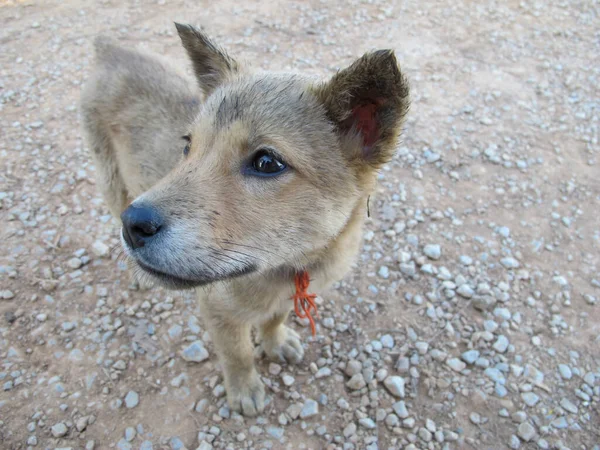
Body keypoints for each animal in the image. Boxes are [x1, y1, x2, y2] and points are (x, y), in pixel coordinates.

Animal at [81, 22, 408, 416]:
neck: (288, 265)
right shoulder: (218, 311)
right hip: (112, 180)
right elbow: (237, 354)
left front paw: (275, 341)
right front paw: (244, 389)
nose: (134, 226)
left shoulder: (287, 295)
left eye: (267, 162)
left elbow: (275, 318)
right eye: (188, 146)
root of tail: (110, 50)